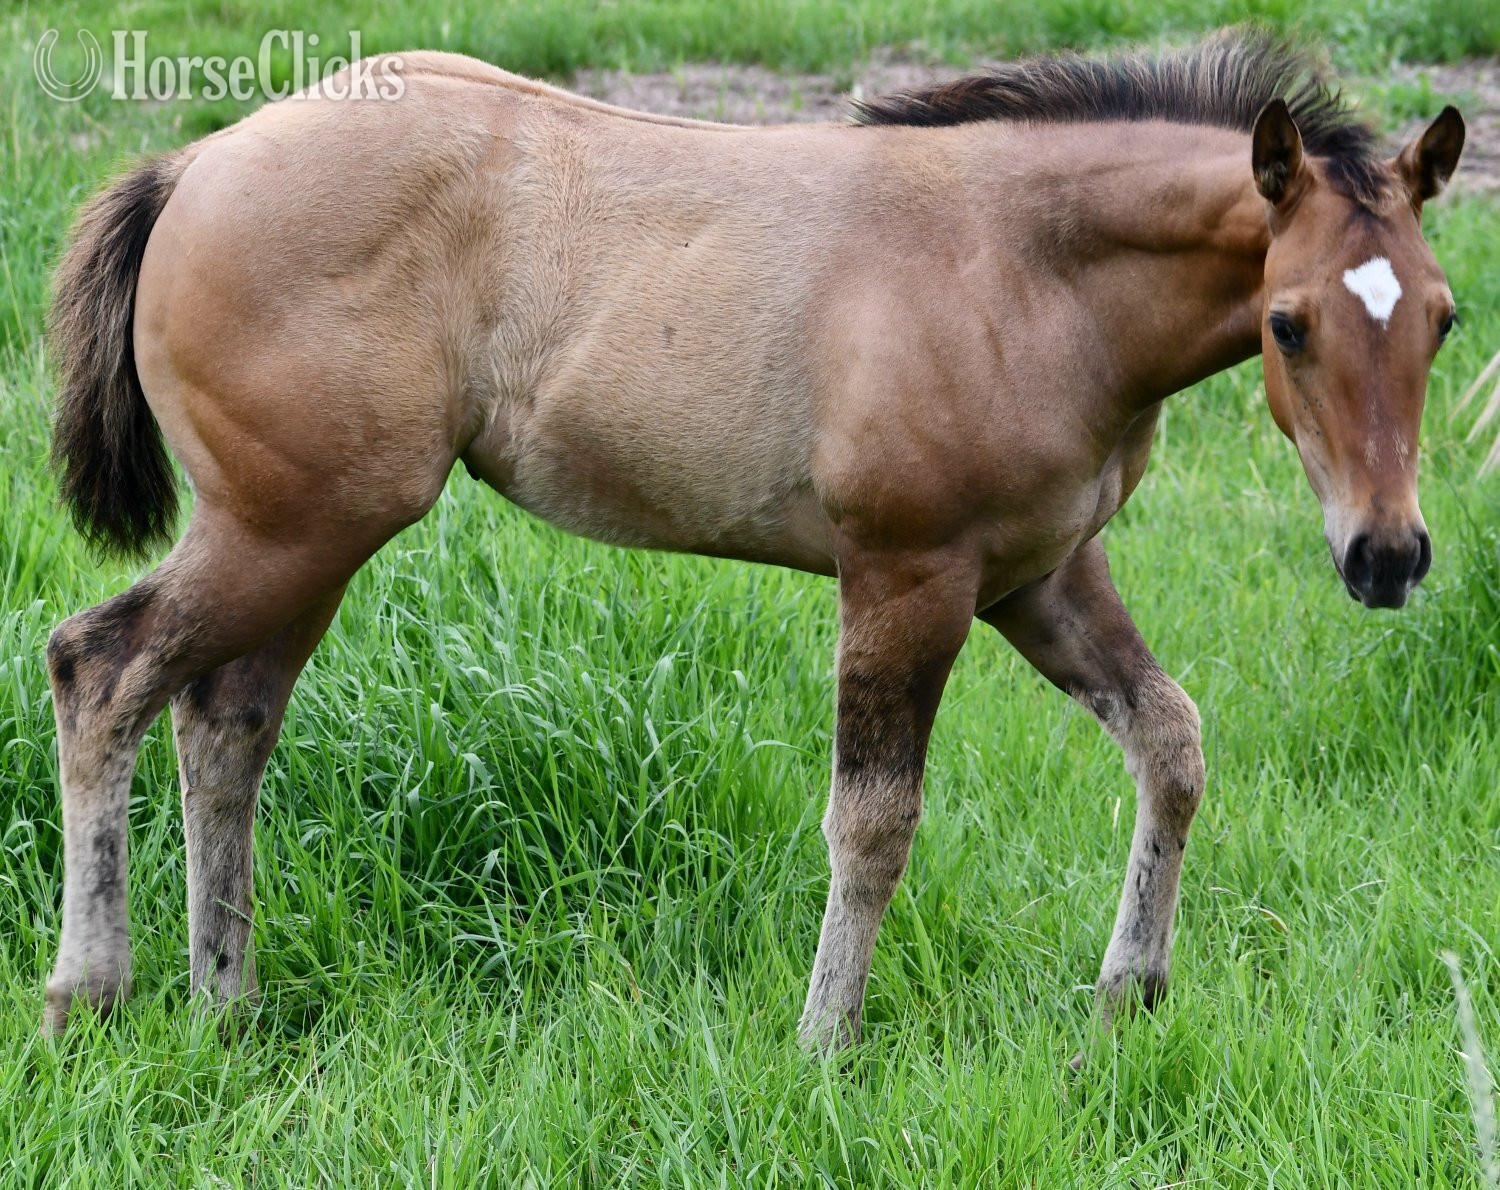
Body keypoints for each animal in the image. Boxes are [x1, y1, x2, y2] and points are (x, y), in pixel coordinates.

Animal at [41, 32, 1464, 1049]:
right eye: (1286, 321)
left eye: (1443, 317)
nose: (1386, 556)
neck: (1021, 273)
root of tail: (196, 164)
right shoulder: (907, 574)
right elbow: (873, 821)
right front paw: (825, 1043)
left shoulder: (1042, 575)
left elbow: (1172, 741)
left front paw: (1129, 996)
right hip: (293, 524)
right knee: (98, 669)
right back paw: (89, 996)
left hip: (306, 535)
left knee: (222, 723)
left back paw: (228, 1003)